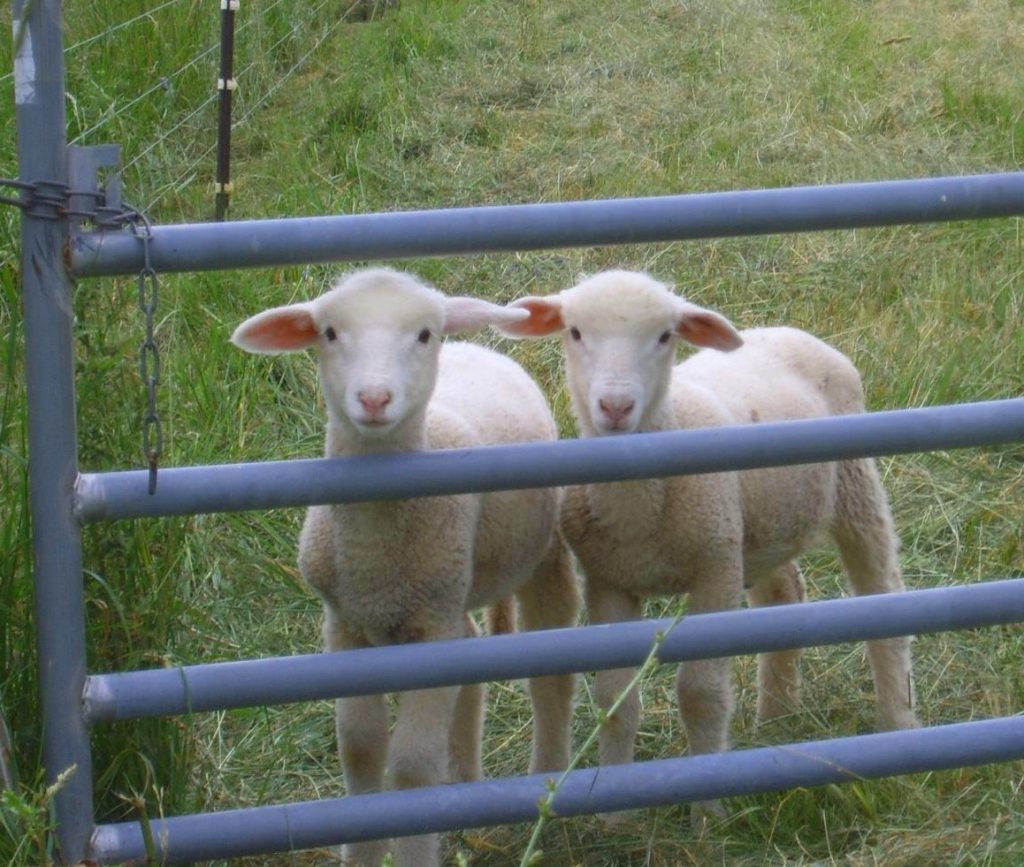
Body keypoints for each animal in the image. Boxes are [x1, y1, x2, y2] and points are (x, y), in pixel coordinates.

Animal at [232, 267, 579, 867]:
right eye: (329, 332)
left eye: (422, 334)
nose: (374, 398)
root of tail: (475, 346)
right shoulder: (345, 625)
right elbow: (360, 750)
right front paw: (362, 851)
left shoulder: (428, 632)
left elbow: (414, 766)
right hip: (449, 595)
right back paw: (464, 785)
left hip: (537, 560)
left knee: (550, 678)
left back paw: (545, 785)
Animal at [498, 268, 918, 812]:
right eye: (574, 332)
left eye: (664, 336)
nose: (616, 406)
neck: (641, 511)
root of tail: (790, 331)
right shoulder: (609, 581)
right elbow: (615, 697)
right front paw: (615, 810)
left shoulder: (714, 570)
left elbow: (701, 693)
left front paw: (708, 810)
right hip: (761, 528)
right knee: (784, 594)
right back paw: (775, 720)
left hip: (854, 490)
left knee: (882, 599)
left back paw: (897, 721)